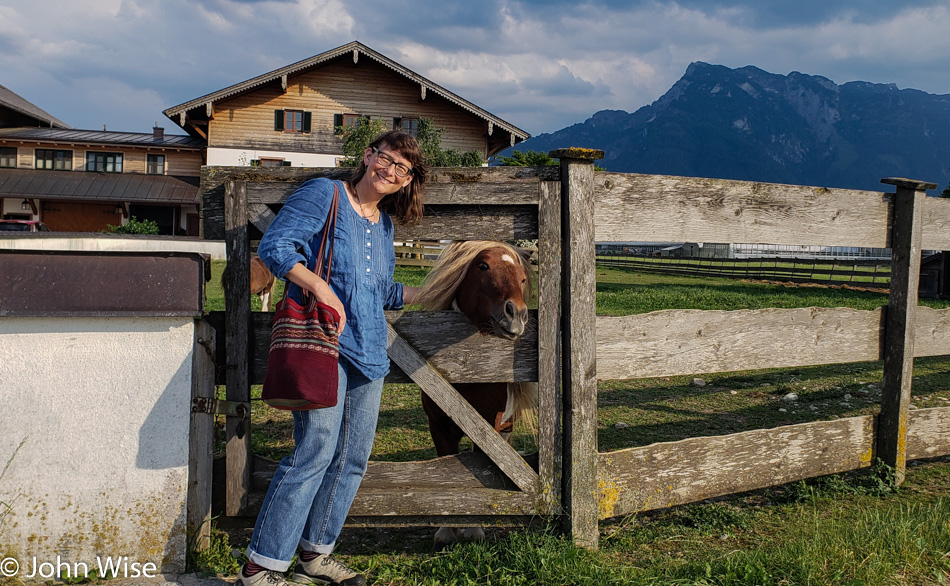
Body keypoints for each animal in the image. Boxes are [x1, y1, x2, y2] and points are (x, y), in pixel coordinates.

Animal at [418, 240, 544, 548]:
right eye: (483, 266)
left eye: (522, 277)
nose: (517, 314)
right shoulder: (438, 427)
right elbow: (447, 468)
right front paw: (447, 530)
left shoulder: (489, 428)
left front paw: (473, 529)